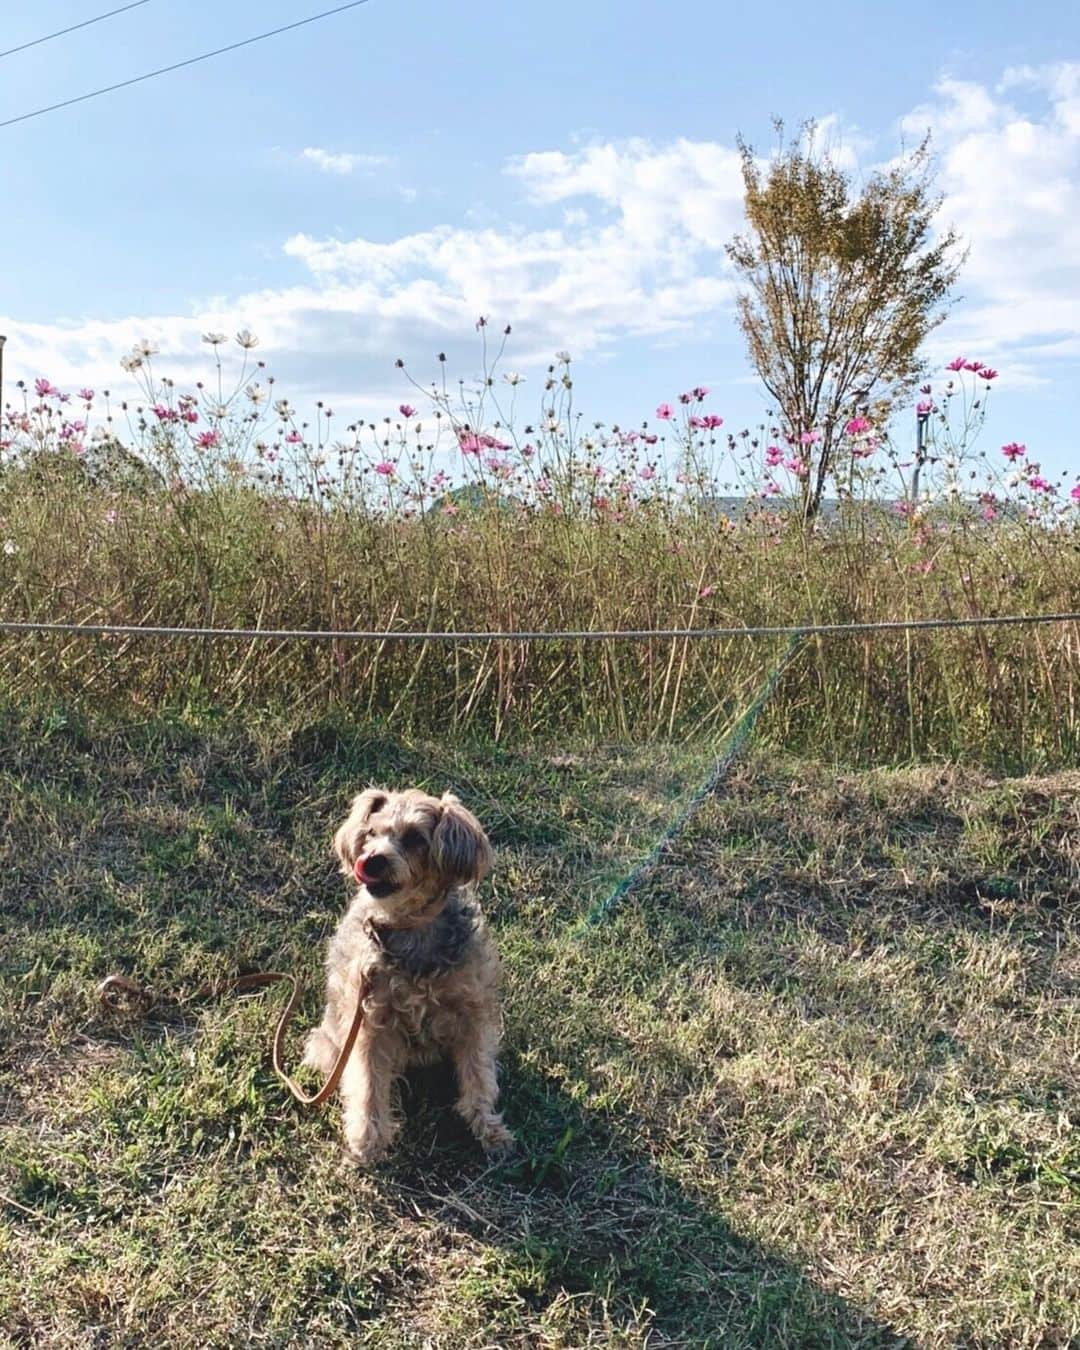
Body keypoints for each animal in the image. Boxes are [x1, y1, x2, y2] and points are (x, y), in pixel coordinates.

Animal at [303, 788, 515, 1166]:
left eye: (416, 838)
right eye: (371, 832)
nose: (371, 860)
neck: (412, 927)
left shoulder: (472, 1012)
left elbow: (479, 1074)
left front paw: (489, 1129)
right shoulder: (369, 1024)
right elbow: (368, 1084)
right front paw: (367, 1142)